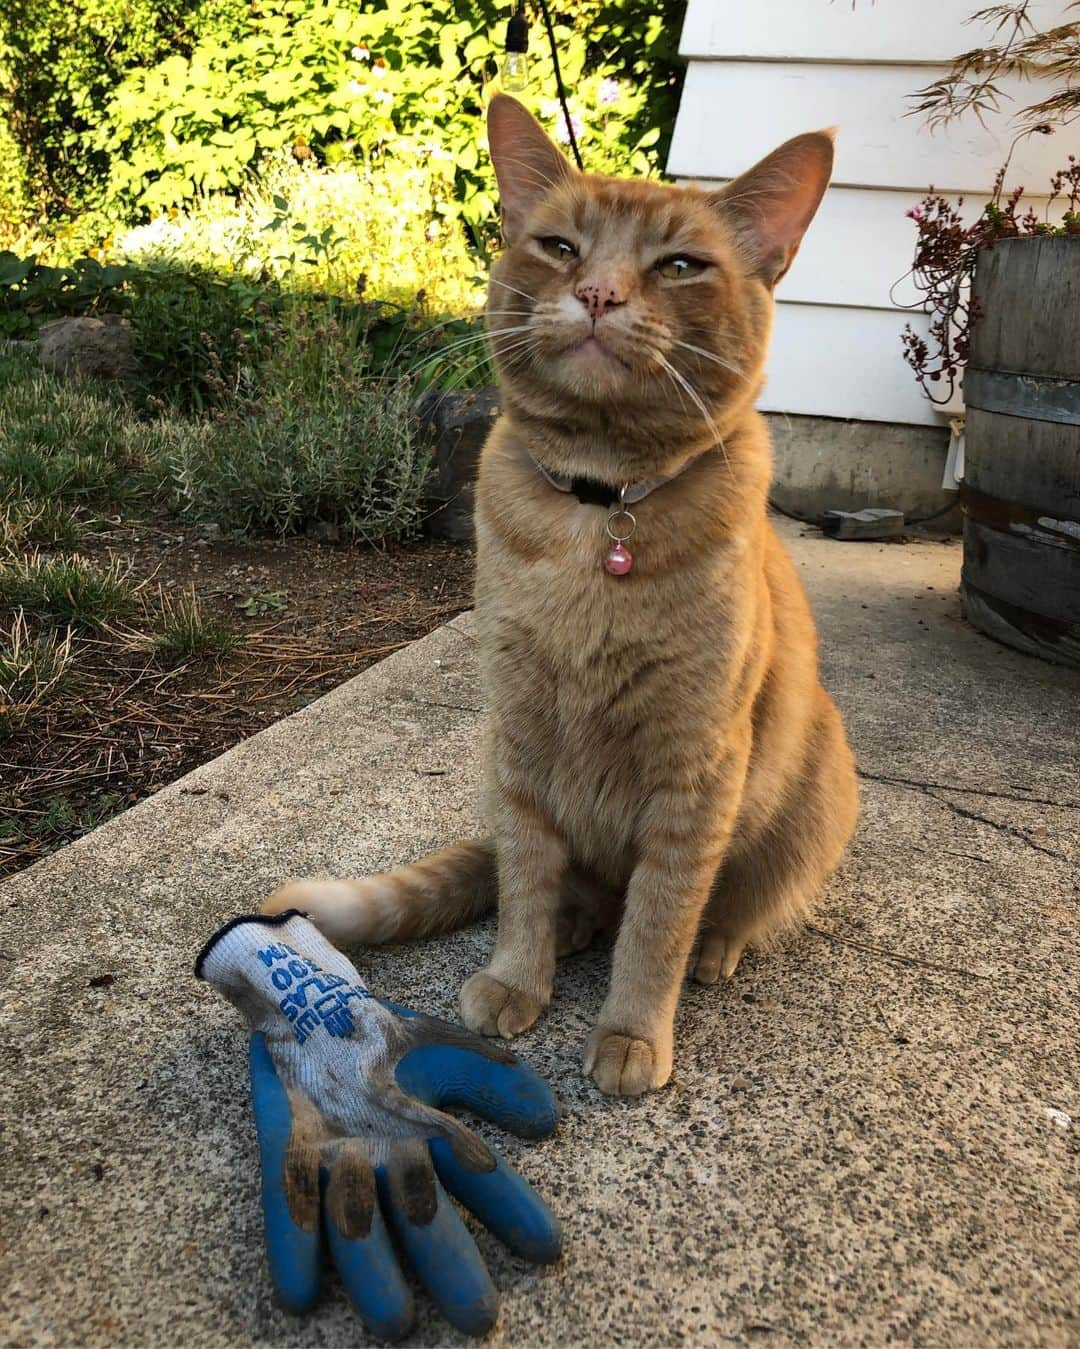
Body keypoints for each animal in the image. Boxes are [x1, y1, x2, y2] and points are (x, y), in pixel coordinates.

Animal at [265, 99, 857, 1100]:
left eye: (679, 265)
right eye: (561, 246)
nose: (601, 295)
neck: (600, 504)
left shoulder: (695, 771)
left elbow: (658, 922)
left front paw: (632, 1030)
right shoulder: (520, 738)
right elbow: (527, 883)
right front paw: (519, 977)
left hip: (817, 782)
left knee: (724, 906)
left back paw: (715, 948)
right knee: (561, 889)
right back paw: (579, 927)